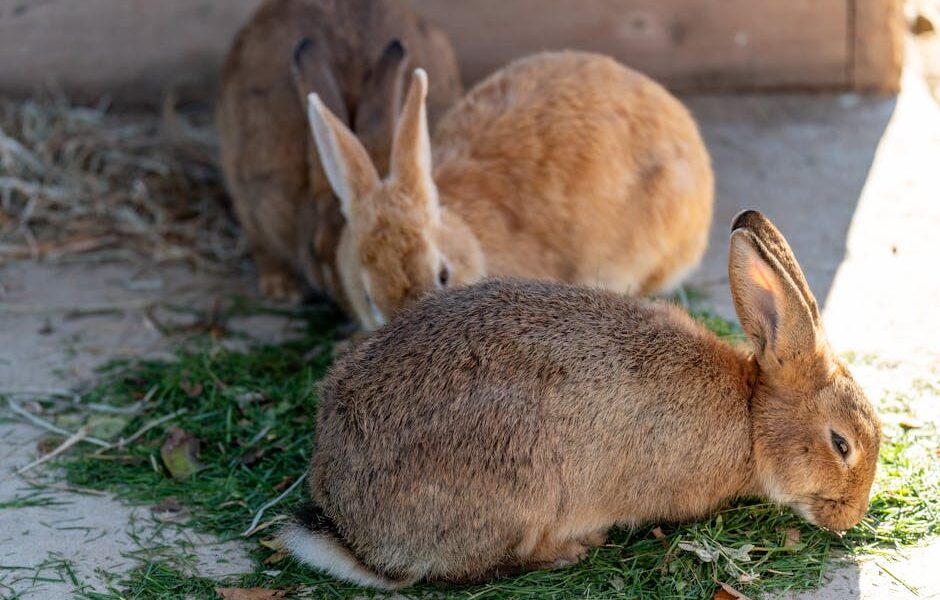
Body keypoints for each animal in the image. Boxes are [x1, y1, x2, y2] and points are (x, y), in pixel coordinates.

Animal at [279, 210, 881, 589]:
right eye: (841, 444)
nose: (850, 517)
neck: (752, 417)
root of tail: (354, 531)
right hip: (521, 490)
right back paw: (571, 548)